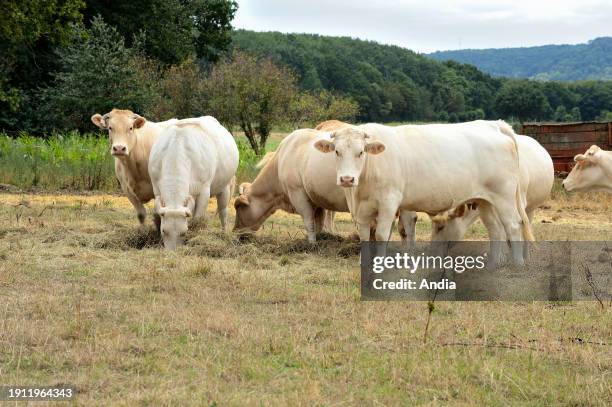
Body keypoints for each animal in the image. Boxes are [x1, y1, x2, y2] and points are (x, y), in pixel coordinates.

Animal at [149, 116, 240, 250]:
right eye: (164, 231)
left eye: (184, 232)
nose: (172, 252)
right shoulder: (156, 189)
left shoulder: (204, 192)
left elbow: (197, 219)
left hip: (225, 187)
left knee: (223, 212)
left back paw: (224, 233)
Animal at [316, 120, 536, 268]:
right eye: (336, 152)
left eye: (361, 152)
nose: (347, 179)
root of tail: (493, 124)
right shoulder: (360, 208)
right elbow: (363, 235)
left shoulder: (389, 203)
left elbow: (381, 234)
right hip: (485, 200)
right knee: (495, 229)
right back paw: (491, 265)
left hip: (504, 196)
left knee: (513, 225)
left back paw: (518, 264)